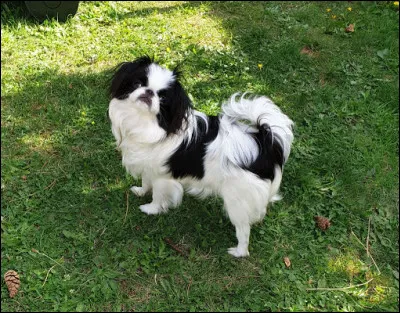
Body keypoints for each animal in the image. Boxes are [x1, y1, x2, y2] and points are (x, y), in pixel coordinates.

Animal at [107, 56, 294, 256]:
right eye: (138, 83)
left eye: (163, 97)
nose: (149, 92)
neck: (143, 122)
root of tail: (265, 141)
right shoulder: (149, 167)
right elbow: (145, 182)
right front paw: (141, 191)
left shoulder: (162, 178)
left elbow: (157, 196)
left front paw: (150, 209)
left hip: (237, 200)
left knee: (243, 230)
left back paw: (238, 252)